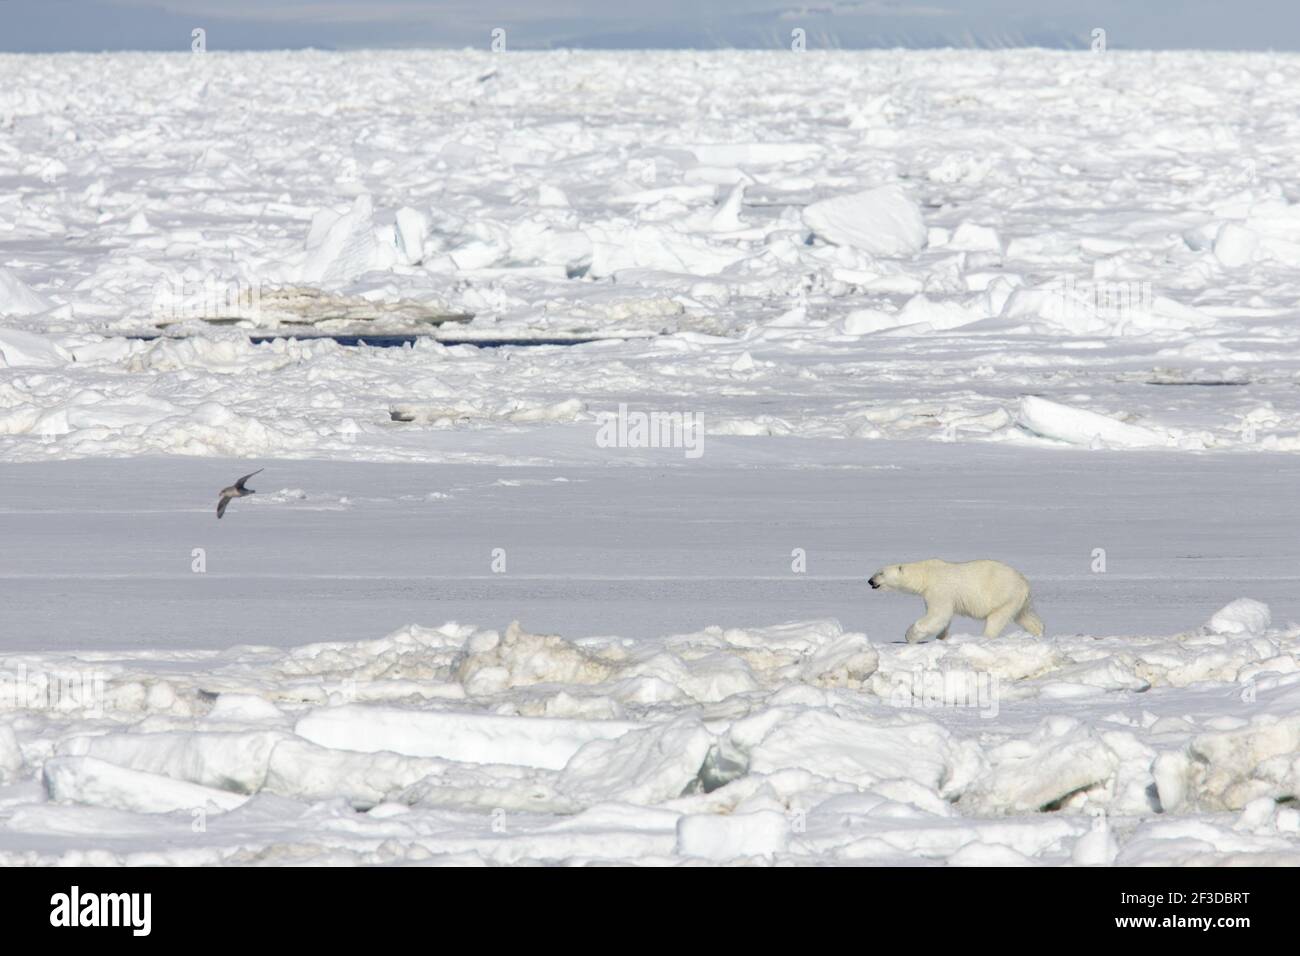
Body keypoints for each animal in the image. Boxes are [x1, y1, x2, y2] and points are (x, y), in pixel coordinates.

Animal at [868, 558, 1044, 643]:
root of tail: (1024, 583)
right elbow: (944, 619)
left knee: (996, 620)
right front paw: (942, 638)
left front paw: (910, 636)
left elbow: (938, 615)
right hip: (1019, 600)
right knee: (1025, 617)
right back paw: (1038, 633)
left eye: (881, 573)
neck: (926, 574)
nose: (870, 581)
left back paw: (984, 638)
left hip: (1004, 597)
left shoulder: (939, 590)